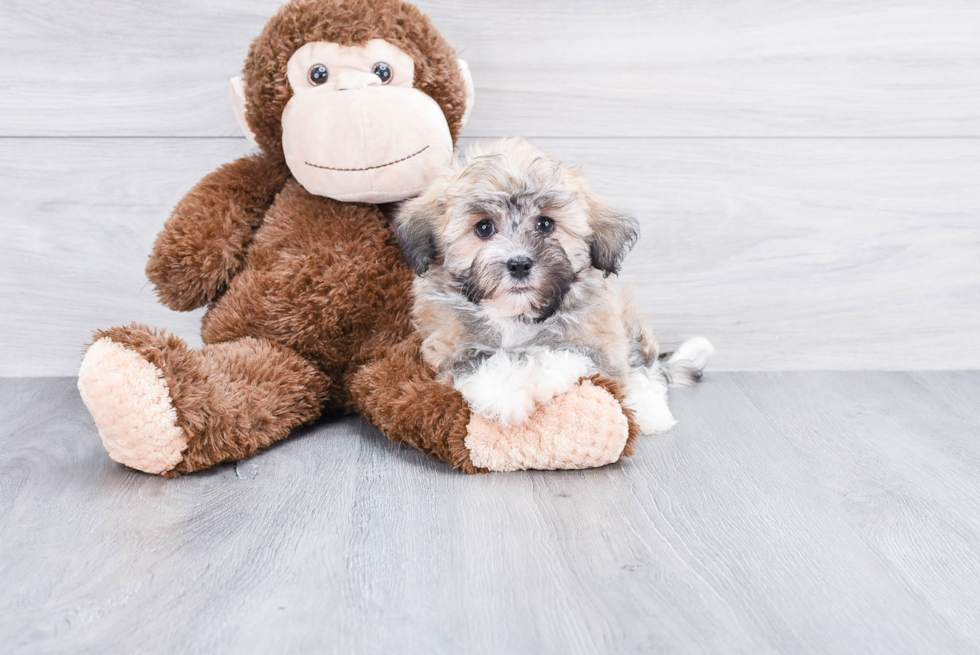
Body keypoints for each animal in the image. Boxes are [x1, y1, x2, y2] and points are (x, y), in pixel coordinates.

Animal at [390, 138, 712, 434]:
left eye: (545, 224)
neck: (516, 315)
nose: (519, 264)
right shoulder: (447, 349)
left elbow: (563, 355)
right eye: (484, 228)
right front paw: (507, 399)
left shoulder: (601, 345)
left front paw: (536, 378)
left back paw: (650, 412)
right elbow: (481, 364)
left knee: (645, 369)